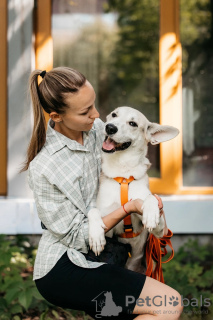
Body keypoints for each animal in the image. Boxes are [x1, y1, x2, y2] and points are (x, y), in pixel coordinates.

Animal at [87, 107, 179, 272]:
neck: (123, 175)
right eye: (114, 114)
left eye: (133, 123)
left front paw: (151, 213)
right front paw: (96, 235)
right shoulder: (107, 222)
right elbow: (93, 211)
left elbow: (150, 198)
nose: (110, 127)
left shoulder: (160, 230)